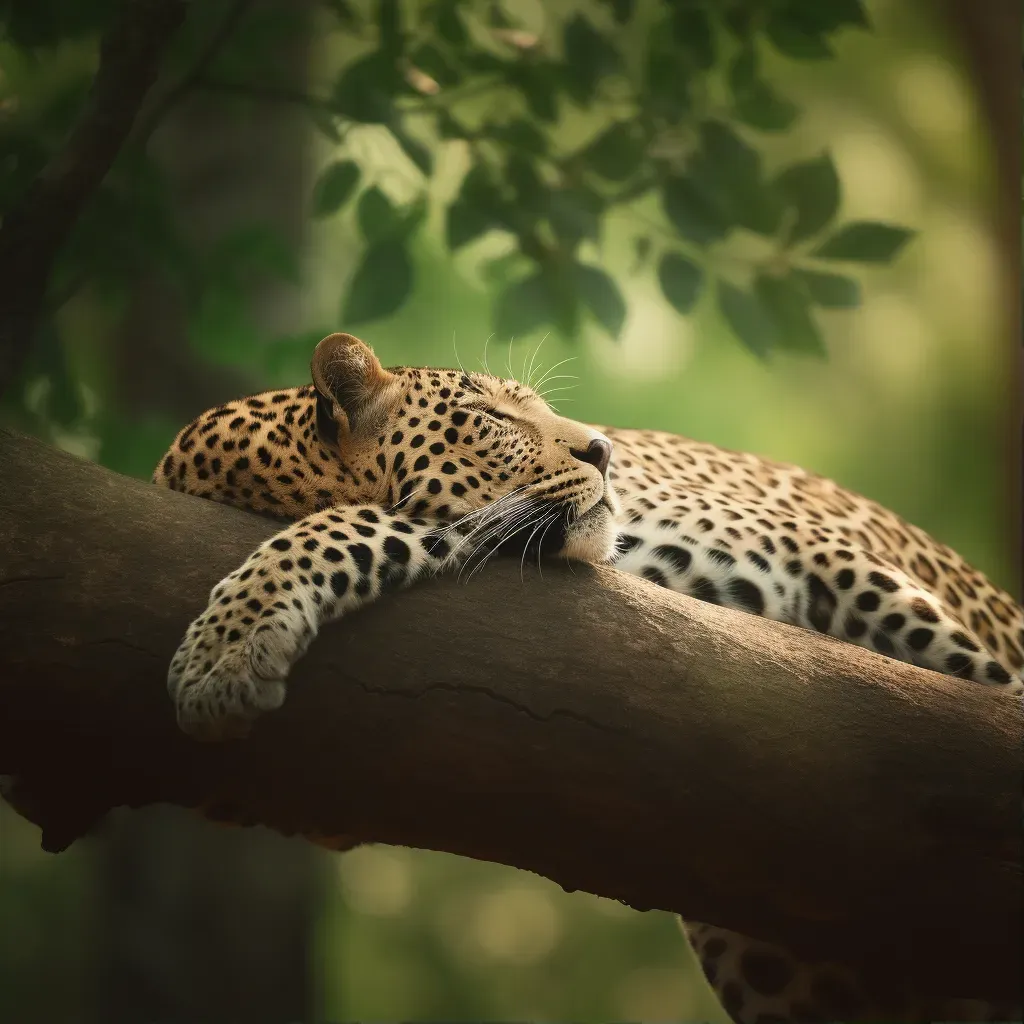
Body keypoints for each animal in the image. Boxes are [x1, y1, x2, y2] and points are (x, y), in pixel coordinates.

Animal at [155, 331, 1019, 1019]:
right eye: (496, 419)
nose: (605, 450)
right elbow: (364, 523)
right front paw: (233, 645)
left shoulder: (818, 556)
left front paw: (226, 644)